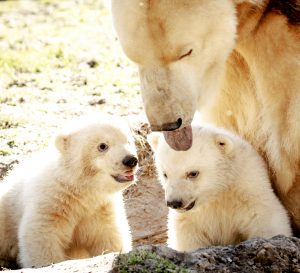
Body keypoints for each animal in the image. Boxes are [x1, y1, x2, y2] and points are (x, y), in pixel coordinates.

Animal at [0, 115, 138, 268]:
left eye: (128, 141)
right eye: (102, 146)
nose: (131, 160)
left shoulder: (100, 209)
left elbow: (109, 236)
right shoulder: (50, 203)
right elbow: (41, 236)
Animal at [149, 125, 292, 251]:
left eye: (193, 173)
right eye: (165, 174)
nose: (174, 202)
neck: (219, 192)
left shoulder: (249, 194)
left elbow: (267, 220)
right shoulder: (192, 218)